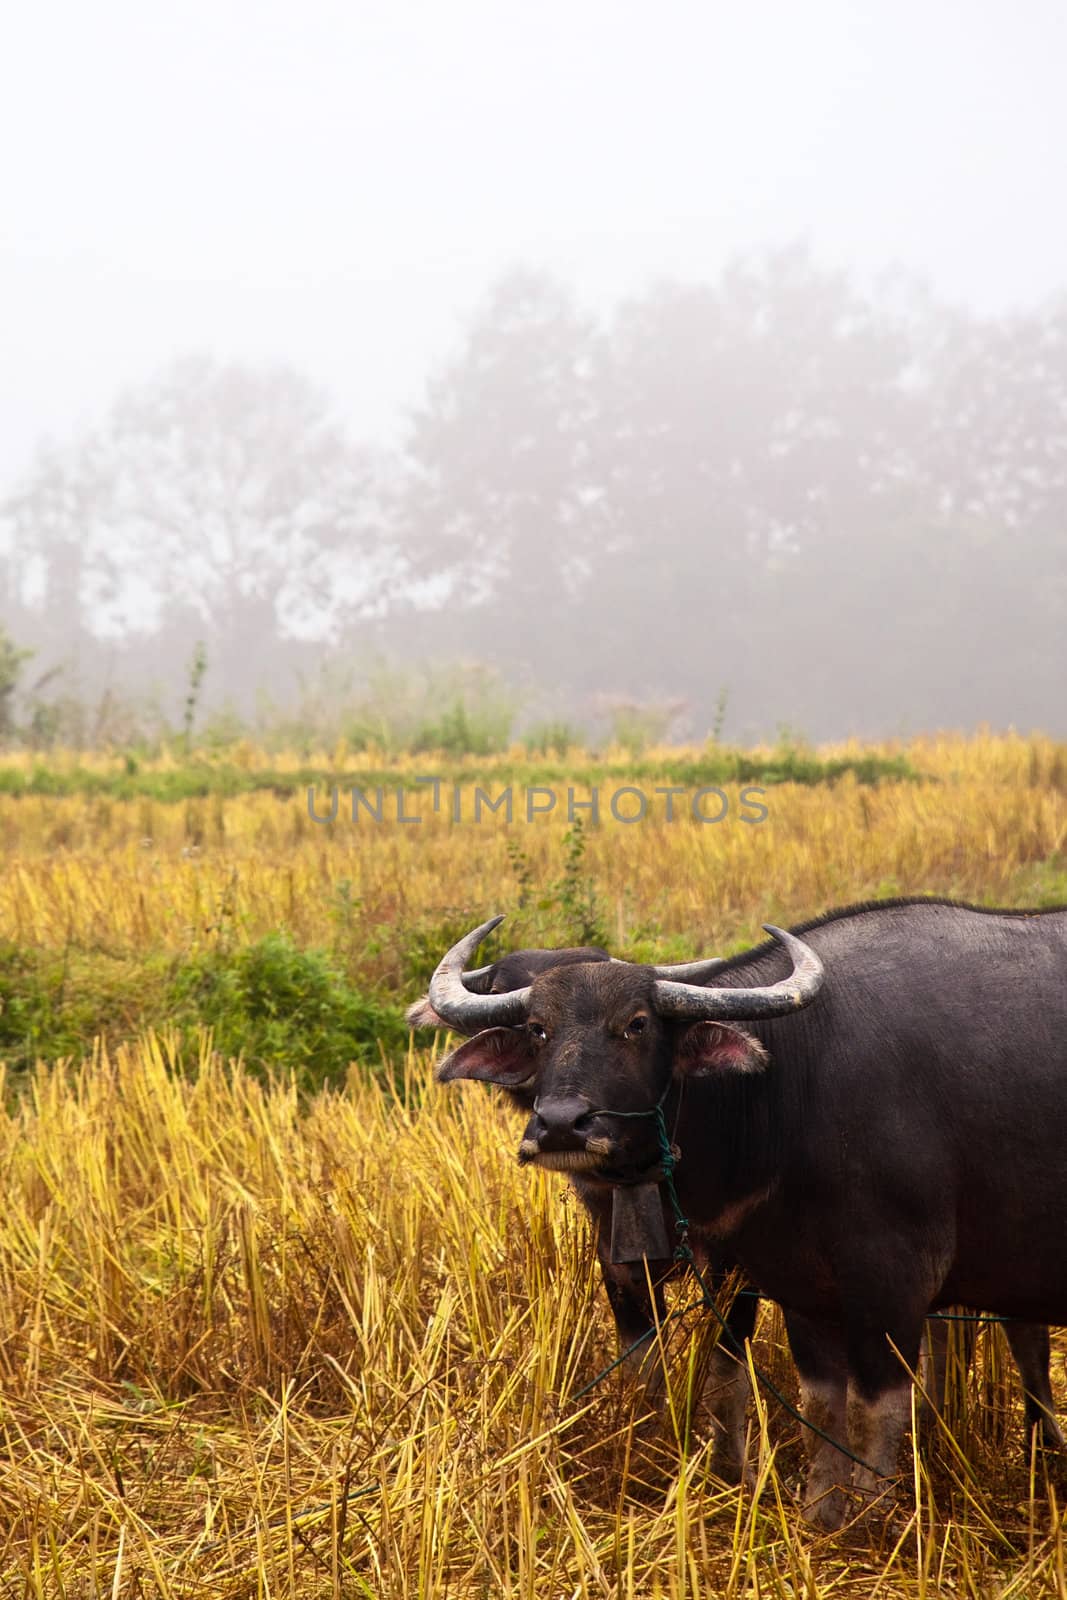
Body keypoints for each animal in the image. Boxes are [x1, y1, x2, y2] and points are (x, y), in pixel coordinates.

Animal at [425, 902, 1067, 1523]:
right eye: (538, 1029)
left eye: (636, 1024)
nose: (560, 1123)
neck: (789, 1085)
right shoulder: (790, 1287)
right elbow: (815, 1406)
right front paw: (819, 1515)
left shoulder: (888, 1285)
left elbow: (869, 1409)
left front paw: (868, 1518)